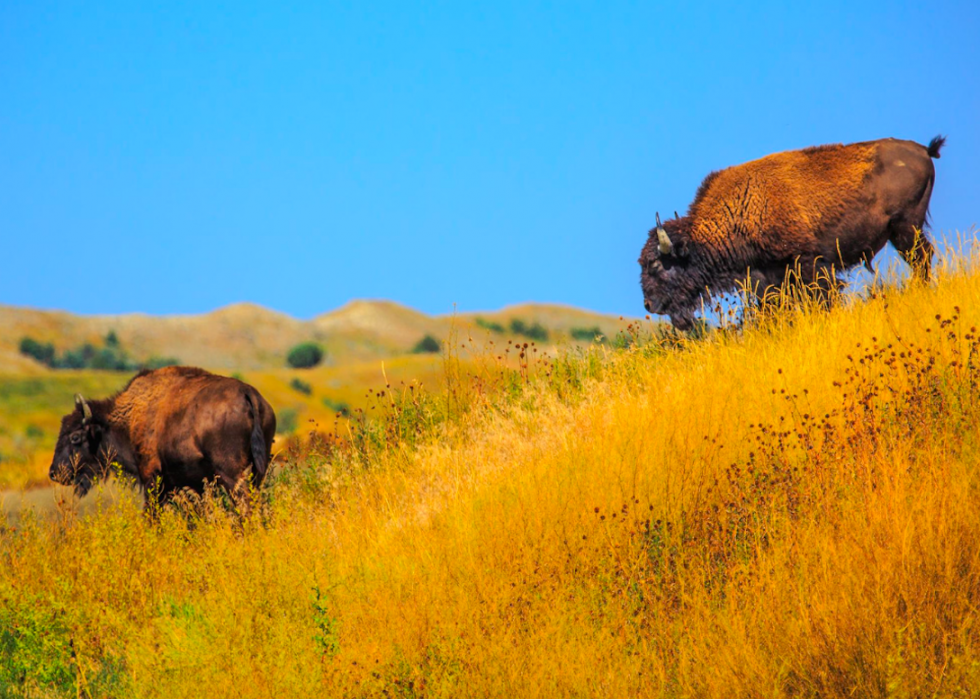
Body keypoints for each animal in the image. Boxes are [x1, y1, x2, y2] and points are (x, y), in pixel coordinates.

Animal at [48, 370, 276, 512]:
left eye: (75, 436)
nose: (53, 472)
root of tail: (249, 394)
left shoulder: (152, 478)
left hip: (231, 474)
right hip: (258, 471)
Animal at [640, 139, 944, 334]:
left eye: (656, 265)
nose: (650, 304)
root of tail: (923, 150)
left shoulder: (809, 264)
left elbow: (825, 297)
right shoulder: (767, 279)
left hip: (905, 228)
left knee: (921, 259)